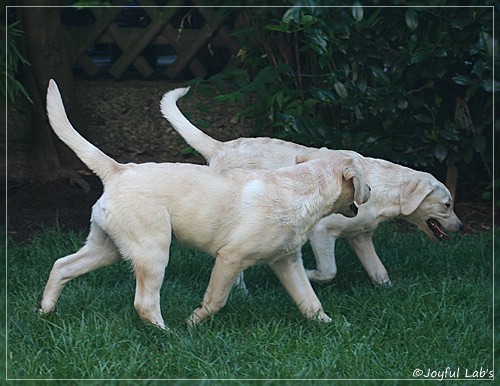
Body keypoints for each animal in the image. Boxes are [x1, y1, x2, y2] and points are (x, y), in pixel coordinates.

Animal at [38, 80, 372, 328]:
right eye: (364, 176)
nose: (369, 190)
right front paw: (193, 322)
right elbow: (216, 299)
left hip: (108, 247)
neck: (301, 188)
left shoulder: (287, 261)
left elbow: (310, 300)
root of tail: (119, 169)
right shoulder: (230, 258)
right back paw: (168, 334)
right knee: (144, 302)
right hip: (153, 249)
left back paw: (44, 311)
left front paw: (331, 325)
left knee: (61, 265)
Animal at [162, 87, 462, 286]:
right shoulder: (322, 233)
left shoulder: (361, 236)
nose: (460, 227)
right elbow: (329, 271)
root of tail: (221, 147)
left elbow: (380, 273)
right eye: (447, 205)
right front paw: (309, 275)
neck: (382, 189)